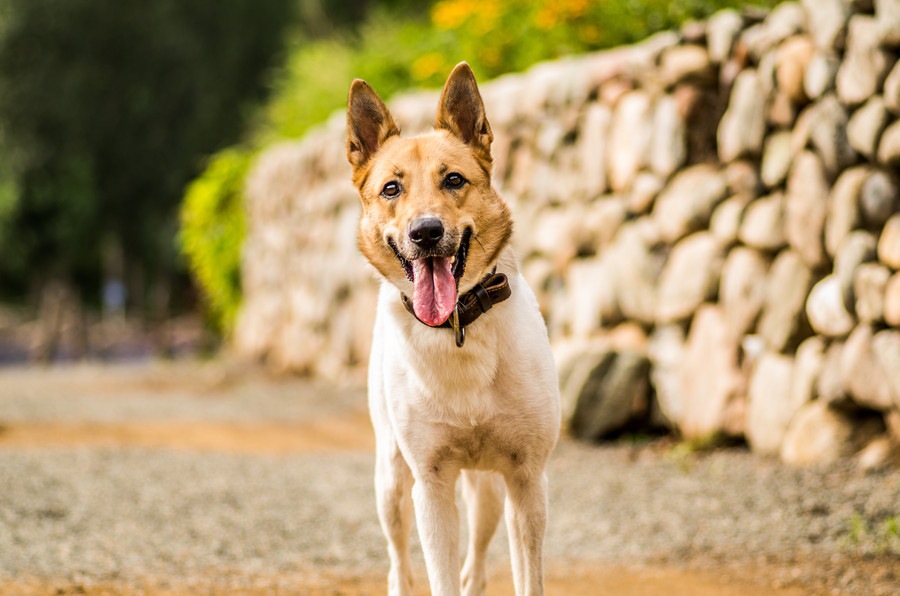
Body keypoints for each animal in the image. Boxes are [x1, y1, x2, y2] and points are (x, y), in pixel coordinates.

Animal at [348, 64, 560, 596]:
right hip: (391, 481)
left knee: (476, 565)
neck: (457, 326)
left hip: (487, 494)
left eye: (454, 180)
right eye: (391, 189)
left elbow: (527, 577)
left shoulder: (527, 479)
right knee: (399, 562)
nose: (426, 233)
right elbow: (436, 573)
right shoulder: (432, 482)